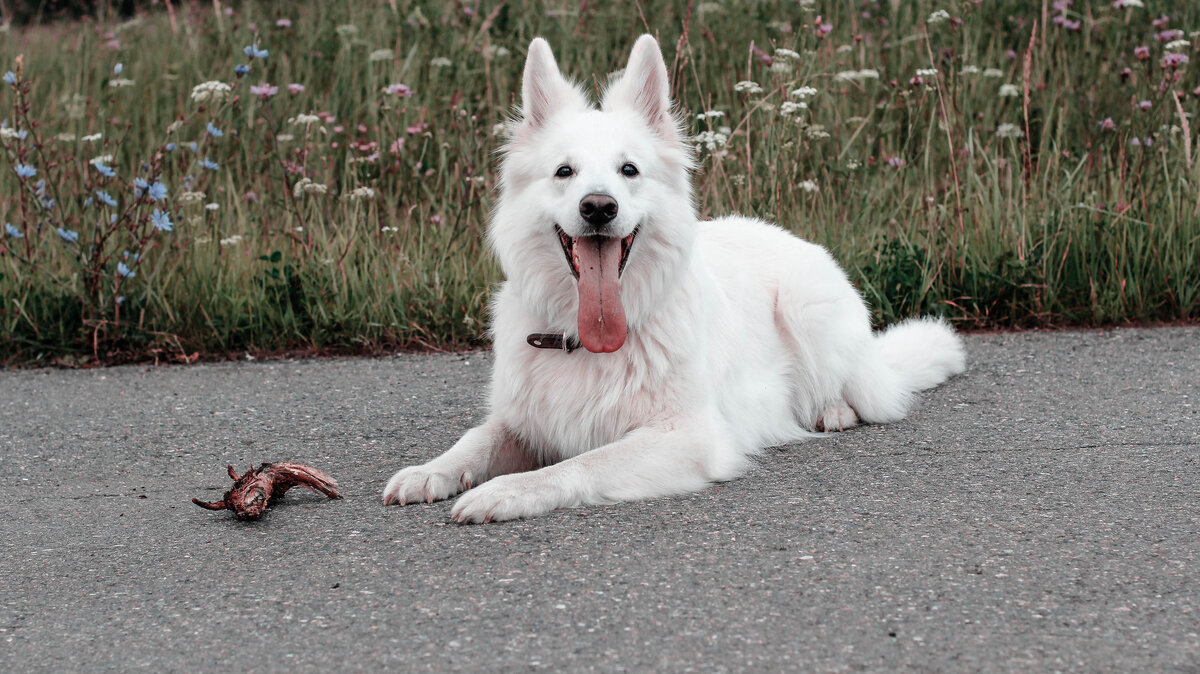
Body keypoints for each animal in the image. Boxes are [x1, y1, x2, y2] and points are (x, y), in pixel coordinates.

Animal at [384, 34, 964, 522]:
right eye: (565, 172)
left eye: (629, 170)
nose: (599, 208)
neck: (585, 341)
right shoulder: (522, 421)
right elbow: (474, 439)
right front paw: (428, 472)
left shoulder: (684, 437)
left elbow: (578, 464)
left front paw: (504, 491)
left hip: (808, 312)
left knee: (863, 391)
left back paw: (834, 411)